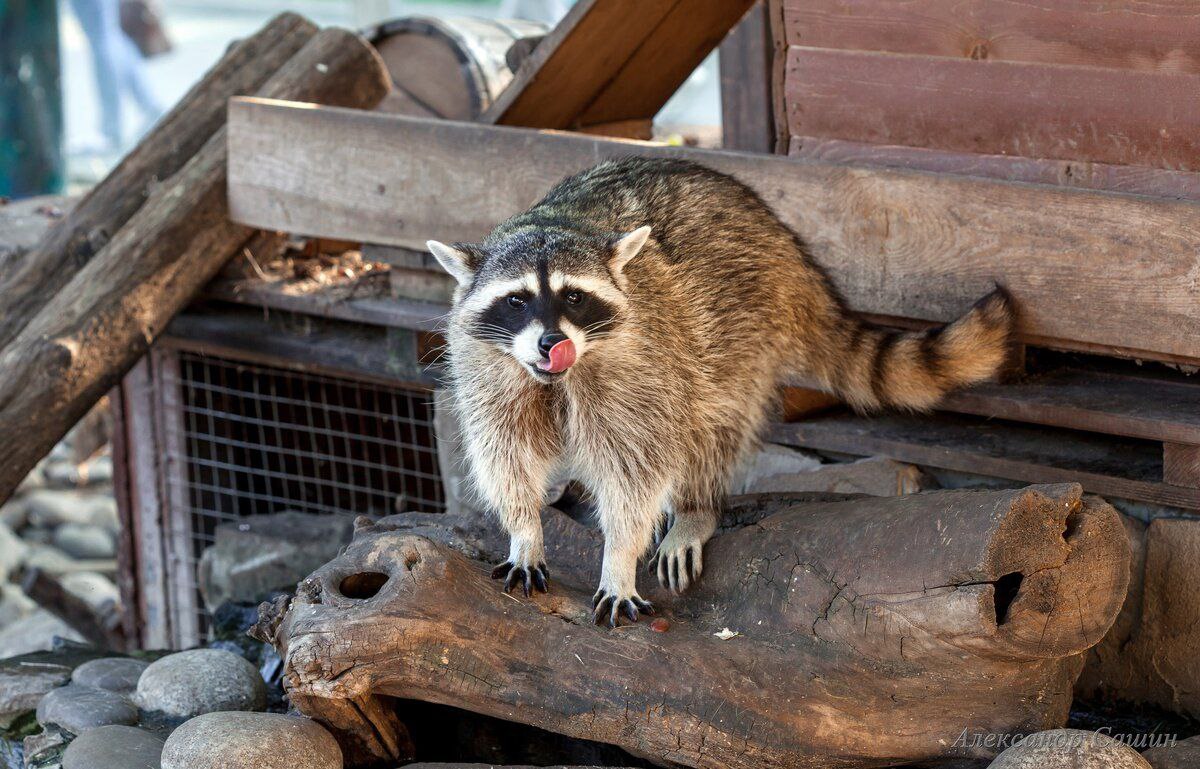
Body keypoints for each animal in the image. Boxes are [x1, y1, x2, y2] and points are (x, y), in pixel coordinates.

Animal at [429, 155, 1012, 623]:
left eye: (574, 297)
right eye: (517, 300)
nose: (554, 342)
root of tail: (781, 238)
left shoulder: (640, 360)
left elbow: (632, 471)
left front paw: (619, 559)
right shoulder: (486, 366)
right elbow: (506, 453)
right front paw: (525, 531)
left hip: (743, 327)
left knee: (708, 422)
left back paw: (694, 507)